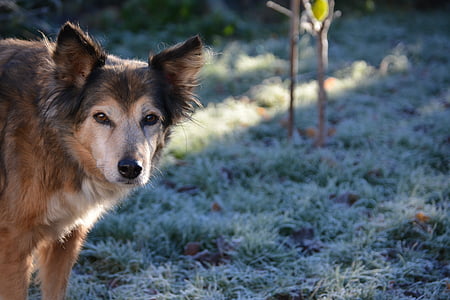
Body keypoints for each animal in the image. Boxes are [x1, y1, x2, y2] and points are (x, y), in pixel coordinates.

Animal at [0, 22, 202, 298]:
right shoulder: (13, 244)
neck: (54, 139)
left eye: (150, 118)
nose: (131, 169)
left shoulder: (67, 237)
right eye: (101, 117)